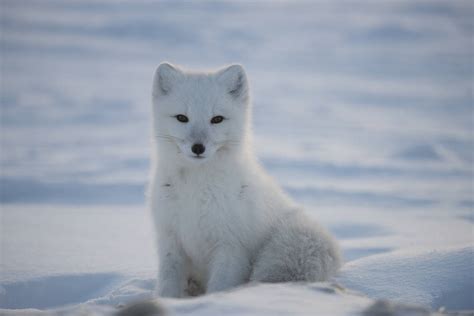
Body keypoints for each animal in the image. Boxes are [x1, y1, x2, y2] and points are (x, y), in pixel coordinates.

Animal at [150, 63, 338, 298]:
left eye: (217, 119)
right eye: (182, 118)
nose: (198, 147)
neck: (196, 187)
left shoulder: (231, 248)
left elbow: (219, 287)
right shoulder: (170, 241)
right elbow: (168, 286)